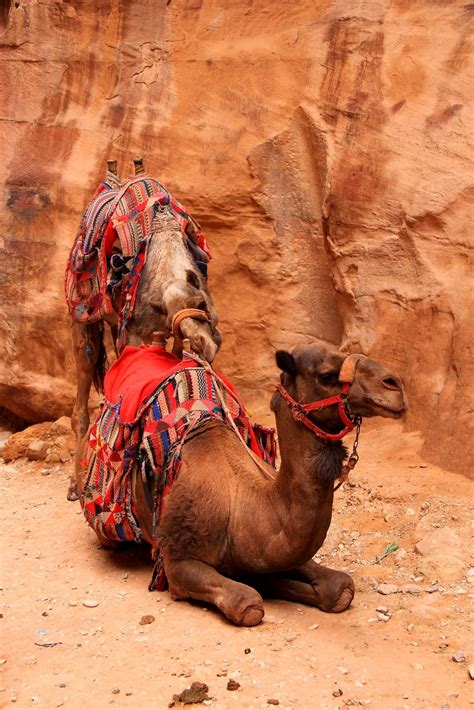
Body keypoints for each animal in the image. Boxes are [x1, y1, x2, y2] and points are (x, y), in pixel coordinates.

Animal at [66, 159, 221, 500]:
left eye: (201, 303)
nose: (203, 343)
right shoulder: (137, 332)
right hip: (84, 321)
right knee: (84, 372)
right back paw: (76, 484)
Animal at [76, 340, 406, 626]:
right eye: (326, 375)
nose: (394, 384)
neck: (240, 508)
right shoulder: (177, 562)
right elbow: (248, 603)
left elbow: (339, 587)